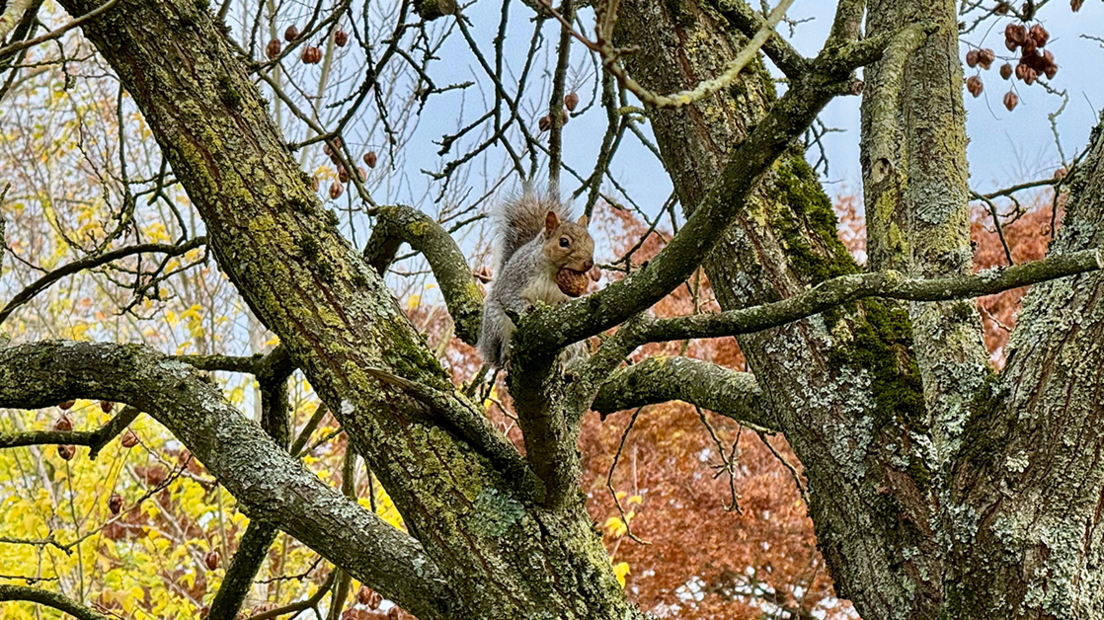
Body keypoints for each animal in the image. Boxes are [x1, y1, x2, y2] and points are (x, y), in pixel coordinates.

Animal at [478, 188, 595, 369]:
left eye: (591, 241)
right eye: (563, 242)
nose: (589, 263)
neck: (552, 272)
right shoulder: (516, 277)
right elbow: (510, 296)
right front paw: (526, 308)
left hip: (574, 344)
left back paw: (560, 362)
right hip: (495, 324)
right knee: (502, 348)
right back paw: (507, 359)